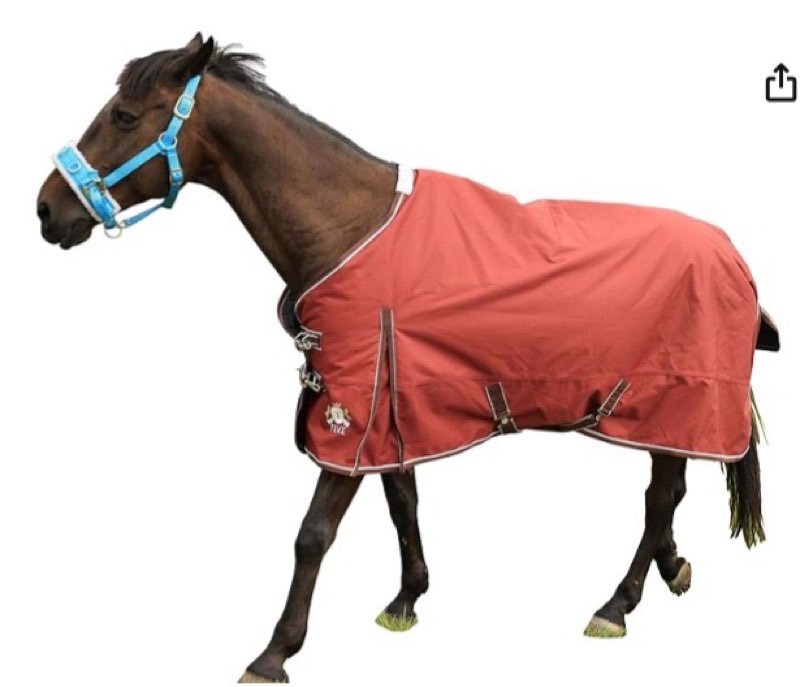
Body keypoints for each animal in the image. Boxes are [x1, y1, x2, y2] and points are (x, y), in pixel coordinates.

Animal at [36, 34, 779, 683]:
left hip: (668, 400)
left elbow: (314, 532)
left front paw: (274, 652)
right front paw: (406, 598)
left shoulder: (349, 408)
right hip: (662, 413)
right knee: (668, 495)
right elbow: (402, 502)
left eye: (124, 116)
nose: (46, 209)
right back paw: (670, 570)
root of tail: (734, 258)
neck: (348, 227)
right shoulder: (391, 404)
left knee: (659, 498)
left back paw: (615, 604)